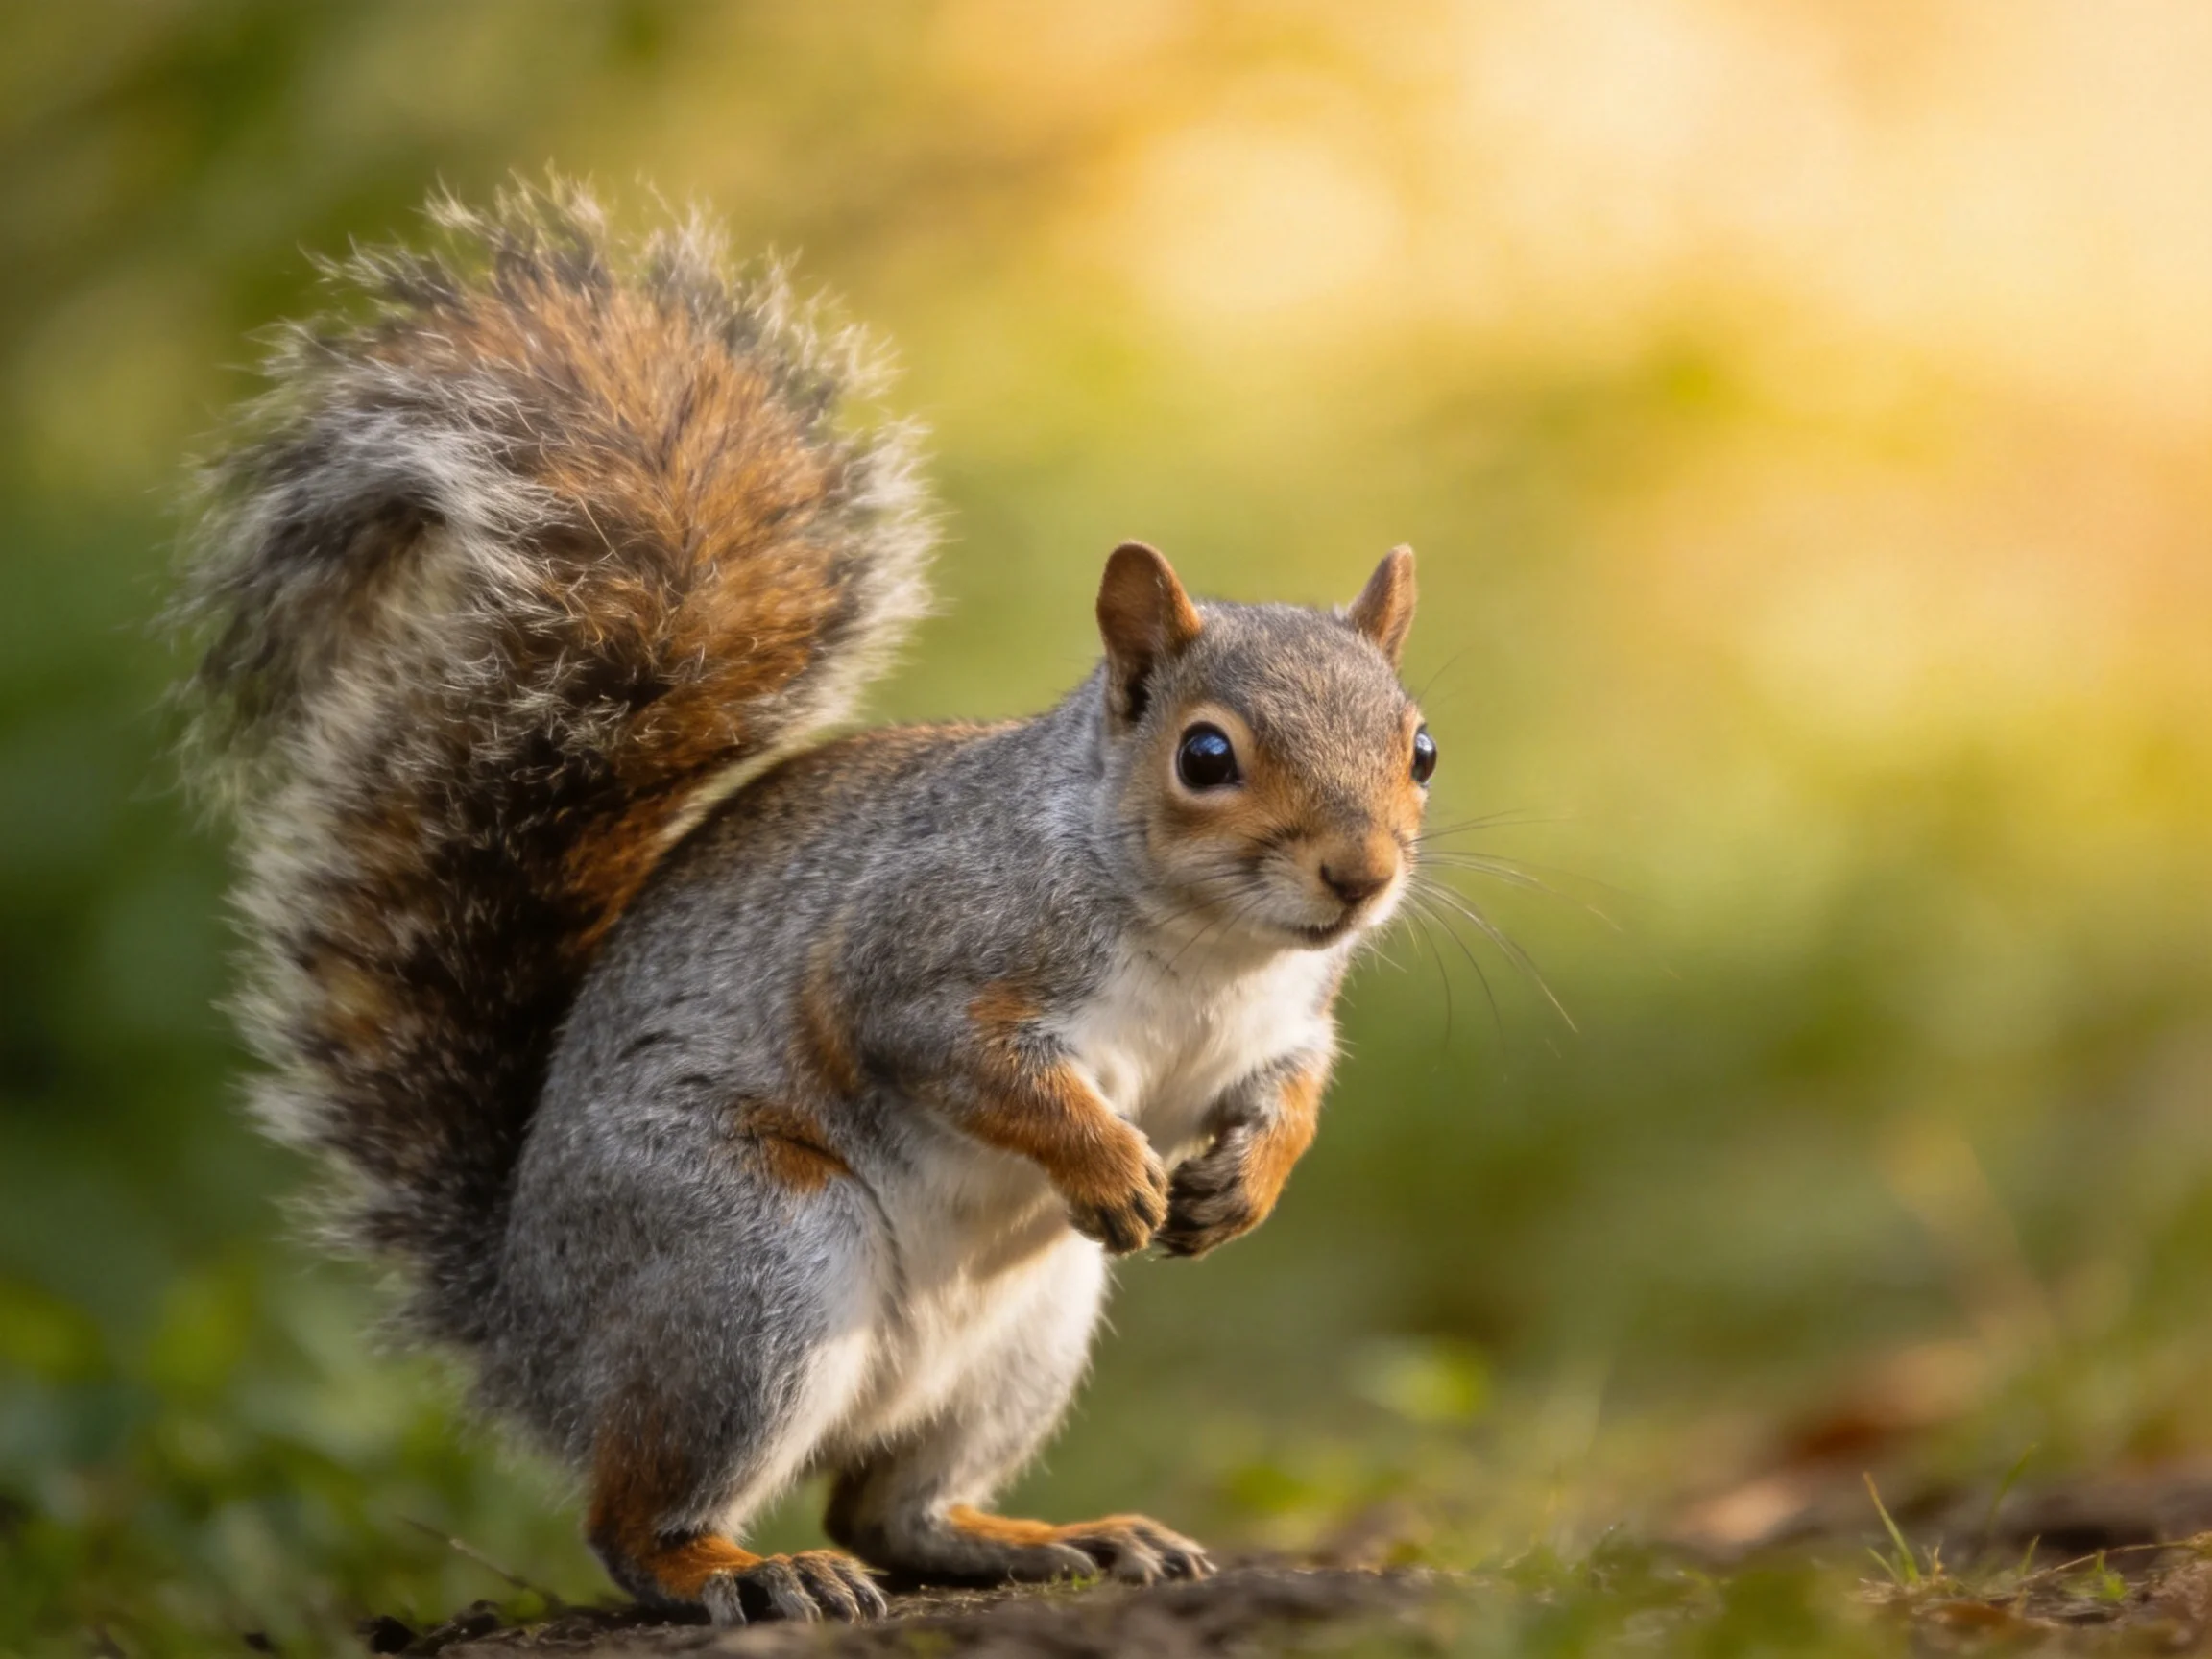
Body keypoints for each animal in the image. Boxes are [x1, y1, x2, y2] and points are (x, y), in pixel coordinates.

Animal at [175, 184, 1433, 1627]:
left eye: (1420, 747)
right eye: (1207, 755)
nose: (1361, 876)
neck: (1209, 949)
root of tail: (532, 1332)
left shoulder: (1282, 1022)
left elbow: (1290, 1091)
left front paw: (1244, 1187)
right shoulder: (920, 953)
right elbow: (959, 1057)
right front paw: (1110, 1162)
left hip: (1028, 1333)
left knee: (891, 1510)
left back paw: (1055, 1537)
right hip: (749, 1262)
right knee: (640, 1521)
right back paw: (747, 1570)